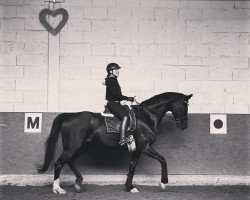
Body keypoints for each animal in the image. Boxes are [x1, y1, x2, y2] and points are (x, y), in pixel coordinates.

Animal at [36, 92, 193, 194]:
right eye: (183, 106)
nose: (184, 126)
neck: (146, 116)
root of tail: (68, 115)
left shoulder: (137, 150)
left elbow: (132, 167)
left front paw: (129, 187)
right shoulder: (145, 147)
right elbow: (163, 160)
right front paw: (163, 183)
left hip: (82, 147)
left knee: (70, 161)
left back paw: (79, 183)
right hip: (73, 147)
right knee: (59, 163)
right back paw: (58, 189)